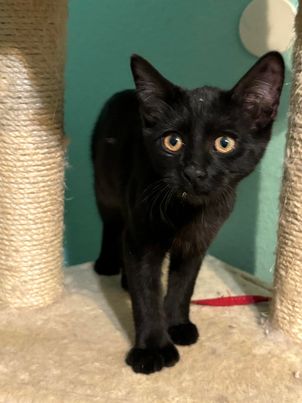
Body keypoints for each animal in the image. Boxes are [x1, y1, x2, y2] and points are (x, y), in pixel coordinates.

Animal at [91, 52, 284, 374]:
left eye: (224, 143)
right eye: (173, 141)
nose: (194, 171)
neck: (186, 212)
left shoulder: (198, 241)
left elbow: (183, 285)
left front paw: (177, 325)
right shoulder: (142, 238)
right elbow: (147, 294)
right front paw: (151, 349)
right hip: (105, 187)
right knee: (112, 225)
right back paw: (107, 264)